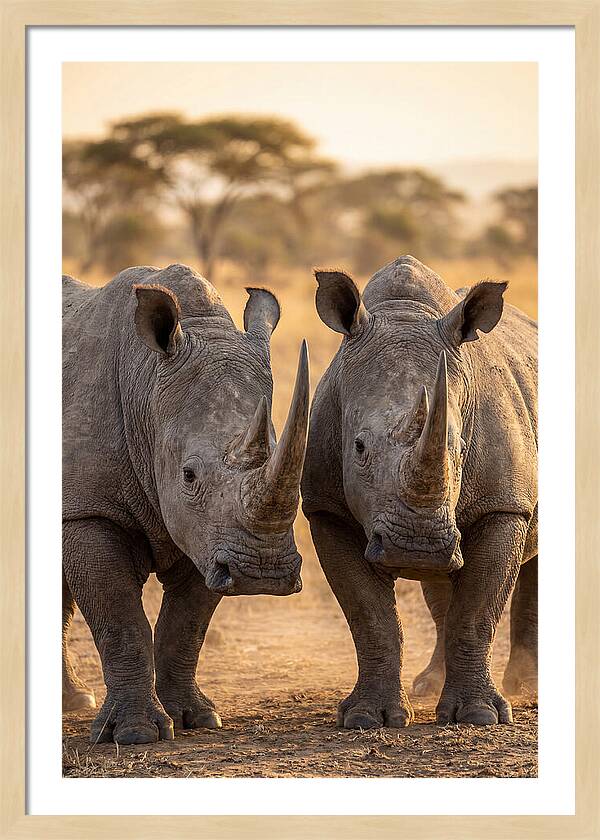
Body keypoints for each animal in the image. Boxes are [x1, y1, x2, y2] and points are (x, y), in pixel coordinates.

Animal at [62, 263, 309, 744]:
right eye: (189, 475)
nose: (263, 573)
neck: (146, 385)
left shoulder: (210, 534)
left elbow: (186, 625)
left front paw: (196, 718)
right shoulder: (88, 508)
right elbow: (120, 620)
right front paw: (135, 734)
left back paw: (74, 701)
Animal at [302, 256, 537, 728]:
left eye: (459, 448)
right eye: (358, 447)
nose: (417, 546)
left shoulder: (504, 506)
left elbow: (478, 612)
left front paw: (480, 716)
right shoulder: (325, 508)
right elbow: (370, 617)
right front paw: (367, 718)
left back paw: (527, 687)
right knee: (442, 586)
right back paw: (429, 685)